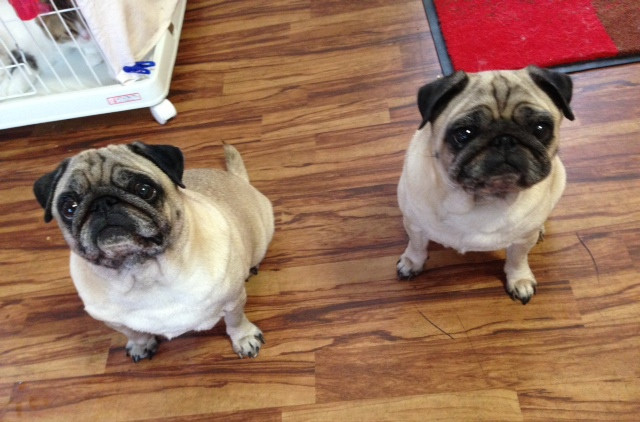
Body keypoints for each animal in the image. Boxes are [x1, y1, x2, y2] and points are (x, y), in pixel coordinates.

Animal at [34, 142, 274, 361]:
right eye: (69, 207)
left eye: (144, 189)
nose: (103, 203)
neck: (144, 274)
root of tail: (238, 179)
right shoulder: (114, 321)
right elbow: (133, 332)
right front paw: (141, 345)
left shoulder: (233, 301)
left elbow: (236, 321)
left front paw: (244, 338)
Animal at [396, 65, 574, 304]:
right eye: (464, 133)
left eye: (540, 128)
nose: (505, 139)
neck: (481, 199)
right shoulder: (414, 225)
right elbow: (416, 246)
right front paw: (412, 262)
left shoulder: (522, 241)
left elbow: (517, 260)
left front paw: (519, 279)